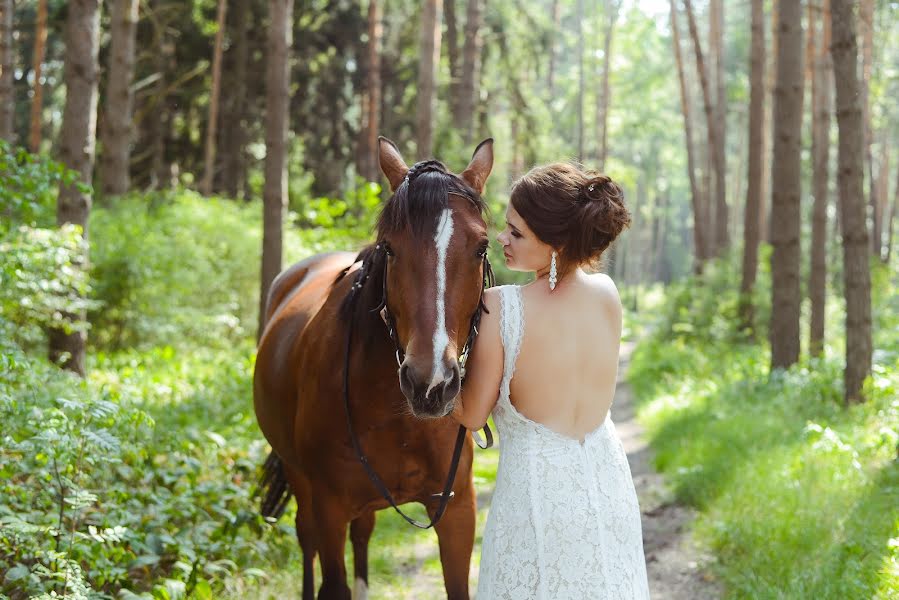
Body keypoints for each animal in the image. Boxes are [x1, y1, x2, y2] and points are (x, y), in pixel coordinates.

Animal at [253, 138, 496, 596]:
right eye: (390, 247)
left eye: (481, 248)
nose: (430, 384)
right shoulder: (329, 508)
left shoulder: (456, 510)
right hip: (300, 480)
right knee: (306, 537)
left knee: (362, 534)